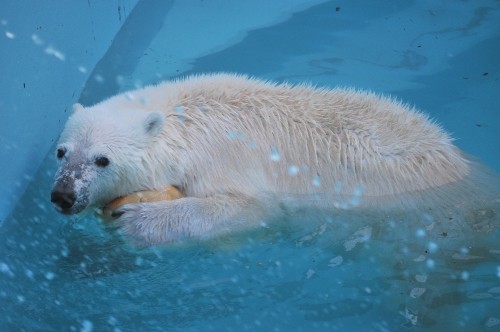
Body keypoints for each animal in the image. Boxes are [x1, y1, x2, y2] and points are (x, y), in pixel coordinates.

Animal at [51, 73, 500, 244]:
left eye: (102, 160)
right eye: (61, 152)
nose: (63, 195)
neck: (187, 117)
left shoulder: (225, 158)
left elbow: (249, 208)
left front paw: (136, 220)